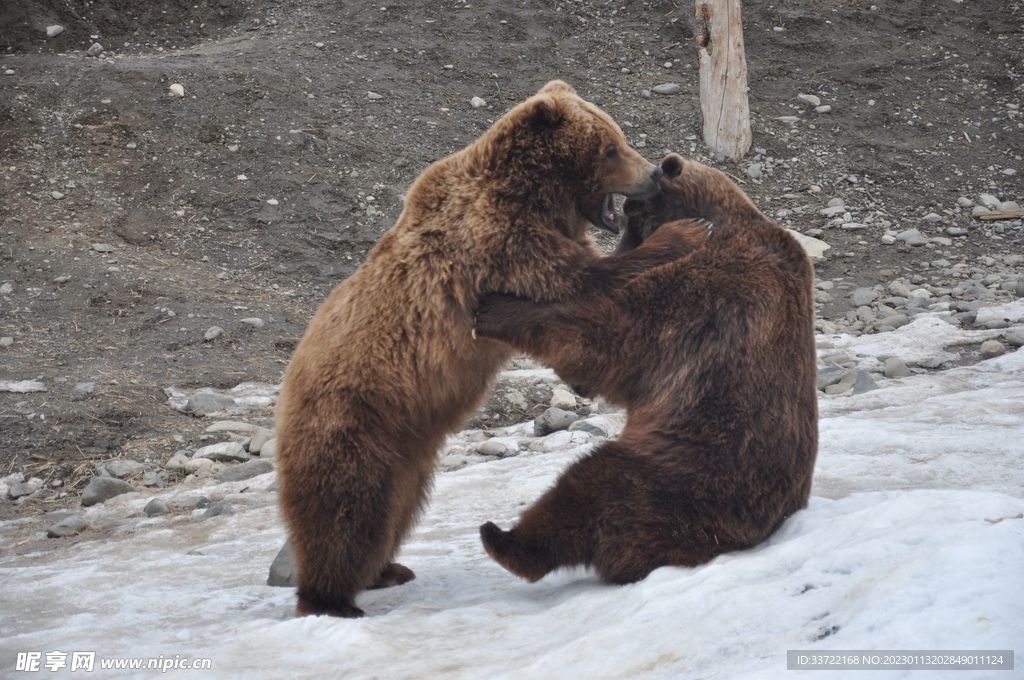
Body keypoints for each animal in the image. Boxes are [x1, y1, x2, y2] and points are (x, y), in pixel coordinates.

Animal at [274, 80, 665, 618]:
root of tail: (284, 393)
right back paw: (332, 600)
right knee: (344, 511)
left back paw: (386, 570)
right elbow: (575, 277)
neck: (537, 196)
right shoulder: (498, 239)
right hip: (352, 420)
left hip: (407, 455)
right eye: (611, 148)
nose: (653, 173)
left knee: (393, 511)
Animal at [474, 153, 818, 585]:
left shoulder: (708, 290)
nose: (615, 250)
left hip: (683, 478)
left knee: (590, 486)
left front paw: (497, 308)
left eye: (631, 220)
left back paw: (503, 539)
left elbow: (614, 333)